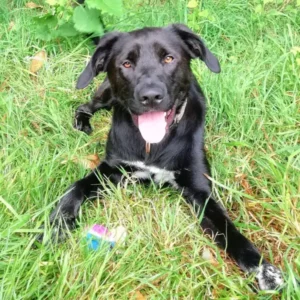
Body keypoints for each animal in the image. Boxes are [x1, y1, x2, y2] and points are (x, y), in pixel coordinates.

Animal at [41, 23, 284, 290]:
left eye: (169, 58)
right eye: (127, 63)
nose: (150, 96)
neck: (152, 146)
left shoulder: (199, 190)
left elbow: (230, 231)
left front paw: (263, 270)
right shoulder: (113, 168)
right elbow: (75, 188)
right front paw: (55, 227)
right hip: (106, 94)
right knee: (86, 105)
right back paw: (82, 122)